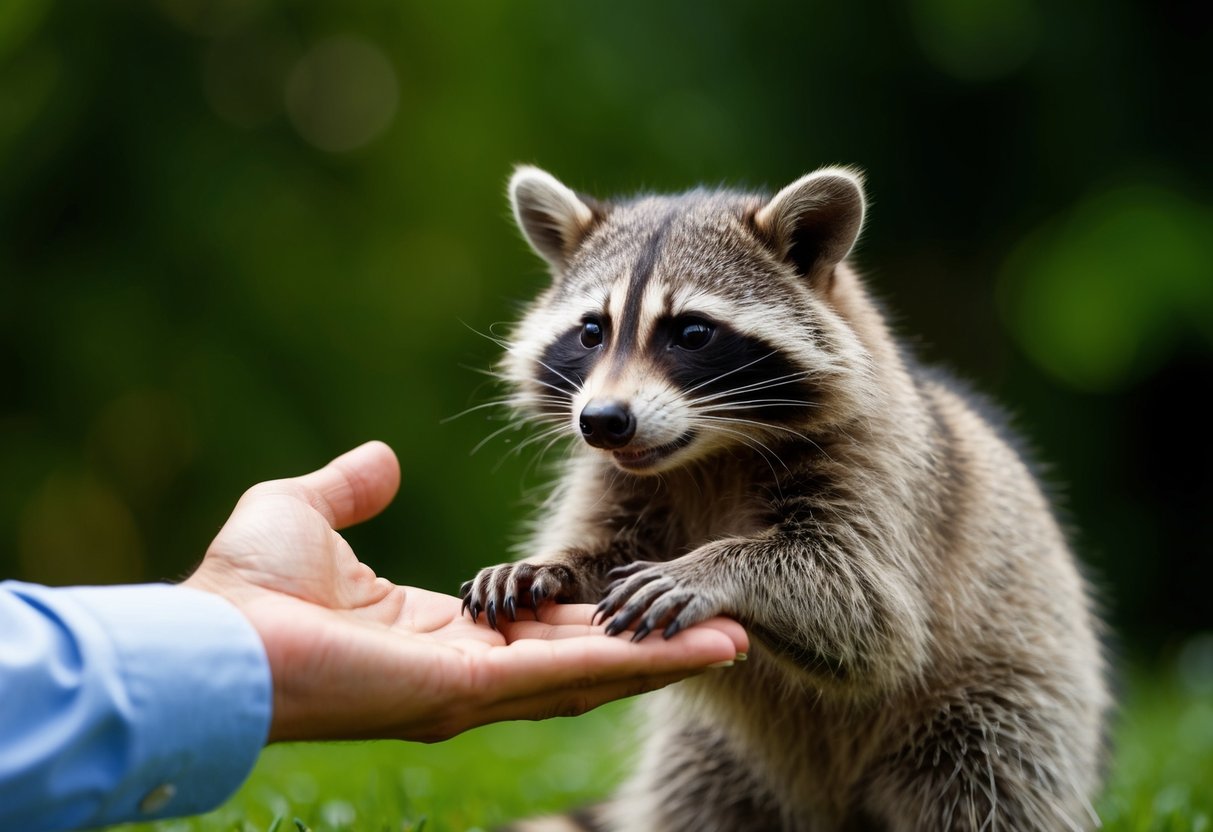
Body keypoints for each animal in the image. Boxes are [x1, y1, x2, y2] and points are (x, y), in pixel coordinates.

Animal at [461, 166, 1109, 831]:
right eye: (592, 330)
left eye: (692, 332)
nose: (603, 422)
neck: (707, 453)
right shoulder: (619, 478)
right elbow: (607, 542)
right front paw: (553, 565)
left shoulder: (887, 469)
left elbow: (867, 603)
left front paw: (713, 567)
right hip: (715, 755)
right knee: (696, 801)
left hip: (1005, 704)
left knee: (988, 786)